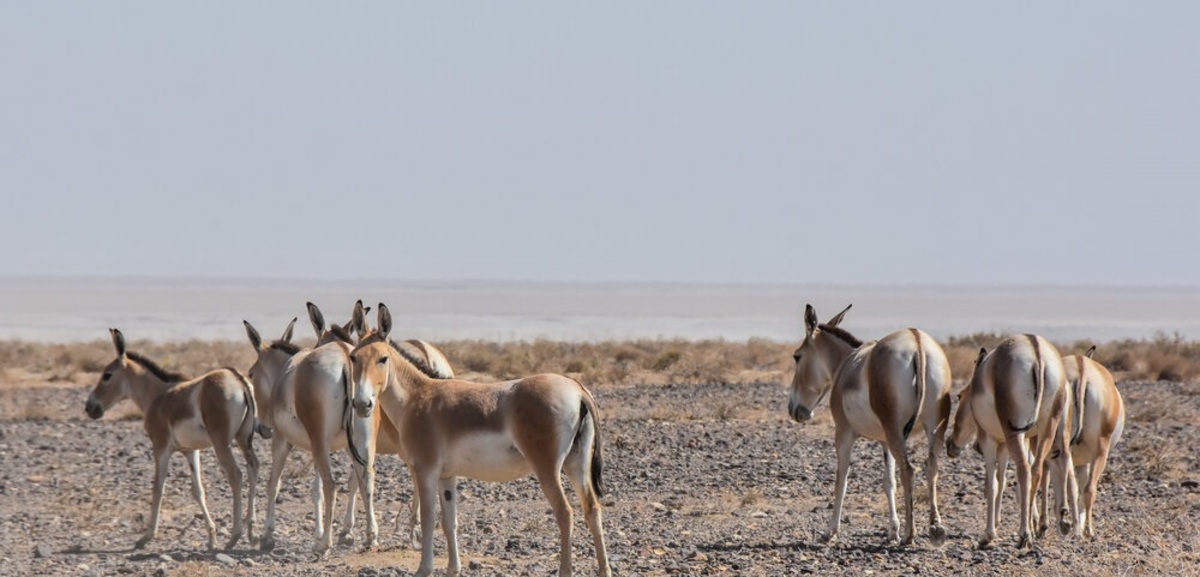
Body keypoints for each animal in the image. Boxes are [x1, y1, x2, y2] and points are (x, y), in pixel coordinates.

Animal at [85, 328, 262, 549]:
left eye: (107, 375)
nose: (90, 407)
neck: (157, 394)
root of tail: (238, 380)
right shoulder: (190, 451)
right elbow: (198, 491)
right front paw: (211, 537)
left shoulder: (160, 448)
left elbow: (158, 488)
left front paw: (146, 537)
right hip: (244, 439)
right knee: (253, 467)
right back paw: (252, 533)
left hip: (221, 443)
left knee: (236, 475)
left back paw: (235, 536)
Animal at [782, 303, 950, 542]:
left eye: (797, 356)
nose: (795, 410)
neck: (846, 363)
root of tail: (916, 341)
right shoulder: (884, 440)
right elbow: (888, 482)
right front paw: (892, 530)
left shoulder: (844, 432)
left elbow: (841, 480)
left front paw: (830, 531)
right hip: (933, 426)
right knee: (931, 466)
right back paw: (936, 527)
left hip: (896, 429)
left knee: (908, 469)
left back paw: (910, 534)